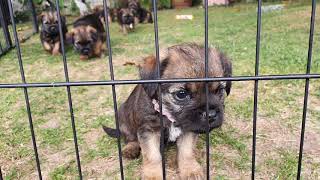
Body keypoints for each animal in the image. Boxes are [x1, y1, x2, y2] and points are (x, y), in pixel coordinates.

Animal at [104, 43, 231, 179]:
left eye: (220, 90)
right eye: (181, 94)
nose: (211, 115)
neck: (169, 116)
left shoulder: (189, 129)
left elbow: (187, 152)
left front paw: (191, 170)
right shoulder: (148, 131)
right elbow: (152, 156)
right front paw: (152, 176)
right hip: (122, 116)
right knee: (129, 137)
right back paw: (130, 149)